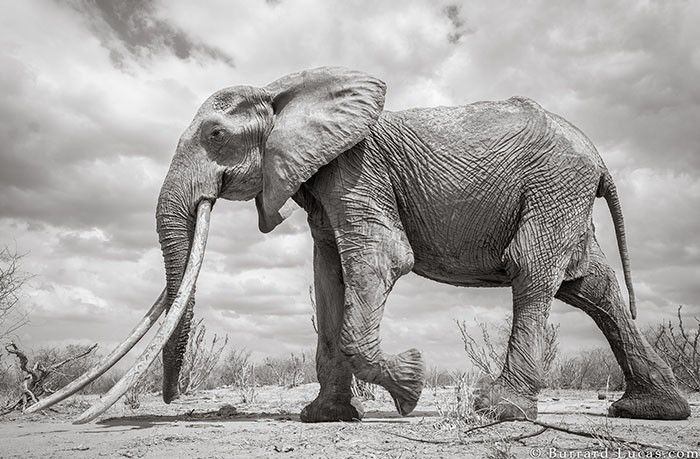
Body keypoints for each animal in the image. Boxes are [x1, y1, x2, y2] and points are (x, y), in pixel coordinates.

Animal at [31, 67, 690, 423]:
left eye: (215, 135)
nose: (169, 399)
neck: (283, 90)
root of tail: (600, 158)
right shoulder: (323, 189)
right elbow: (328, 277)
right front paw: (324, 417)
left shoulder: (357, 172)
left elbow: (378, 262)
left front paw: (410, 388)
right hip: (564, 195)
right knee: (592, 288)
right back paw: (652, 411)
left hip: (555, 186)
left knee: (534, 272)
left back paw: (497, 410)